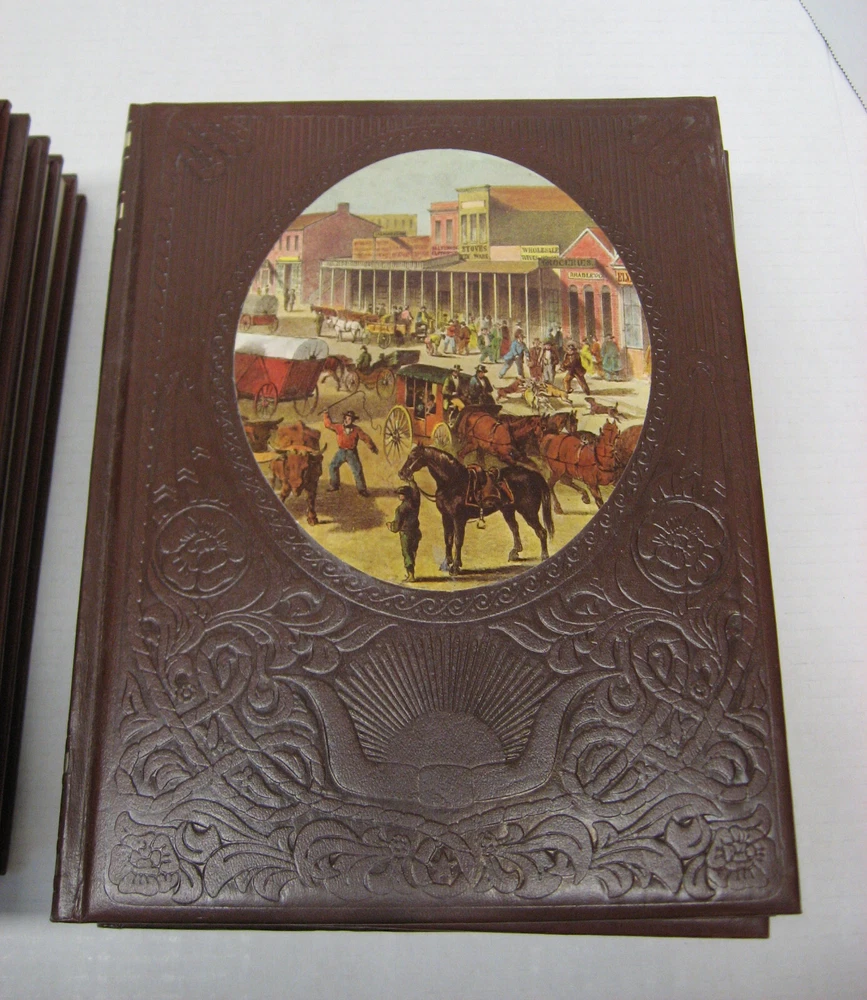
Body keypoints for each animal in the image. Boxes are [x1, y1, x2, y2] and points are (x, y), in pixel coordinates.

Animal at [398, 445, 554, 575]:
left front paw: (455, 567)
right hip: (508, 511)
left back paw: (544, 556)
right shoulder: (446, 517)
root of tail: (533, 475)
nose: (401, 473)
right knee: (515, 528)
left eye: (413, 456)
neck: (453, 482)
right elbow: (448, 539)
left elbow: (458, 541)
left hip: (528, 512)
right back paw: (515, 553)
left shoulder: (458, 519)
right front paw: (446, 563)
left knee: (541, 532)